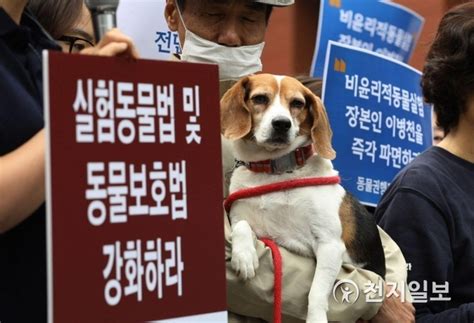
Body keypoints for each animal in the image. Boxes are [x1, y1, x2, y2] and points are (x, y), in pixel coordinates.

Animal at [221, 74, 386, 323]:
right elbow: (241, 226)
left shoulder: (329, 244)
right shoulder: (246, 219)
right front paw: (244, 256)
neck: (274, 172)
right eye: (260, 98)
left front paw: (316, 318)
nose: (282, 123)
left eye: (297, 103)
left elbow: (316, 291)